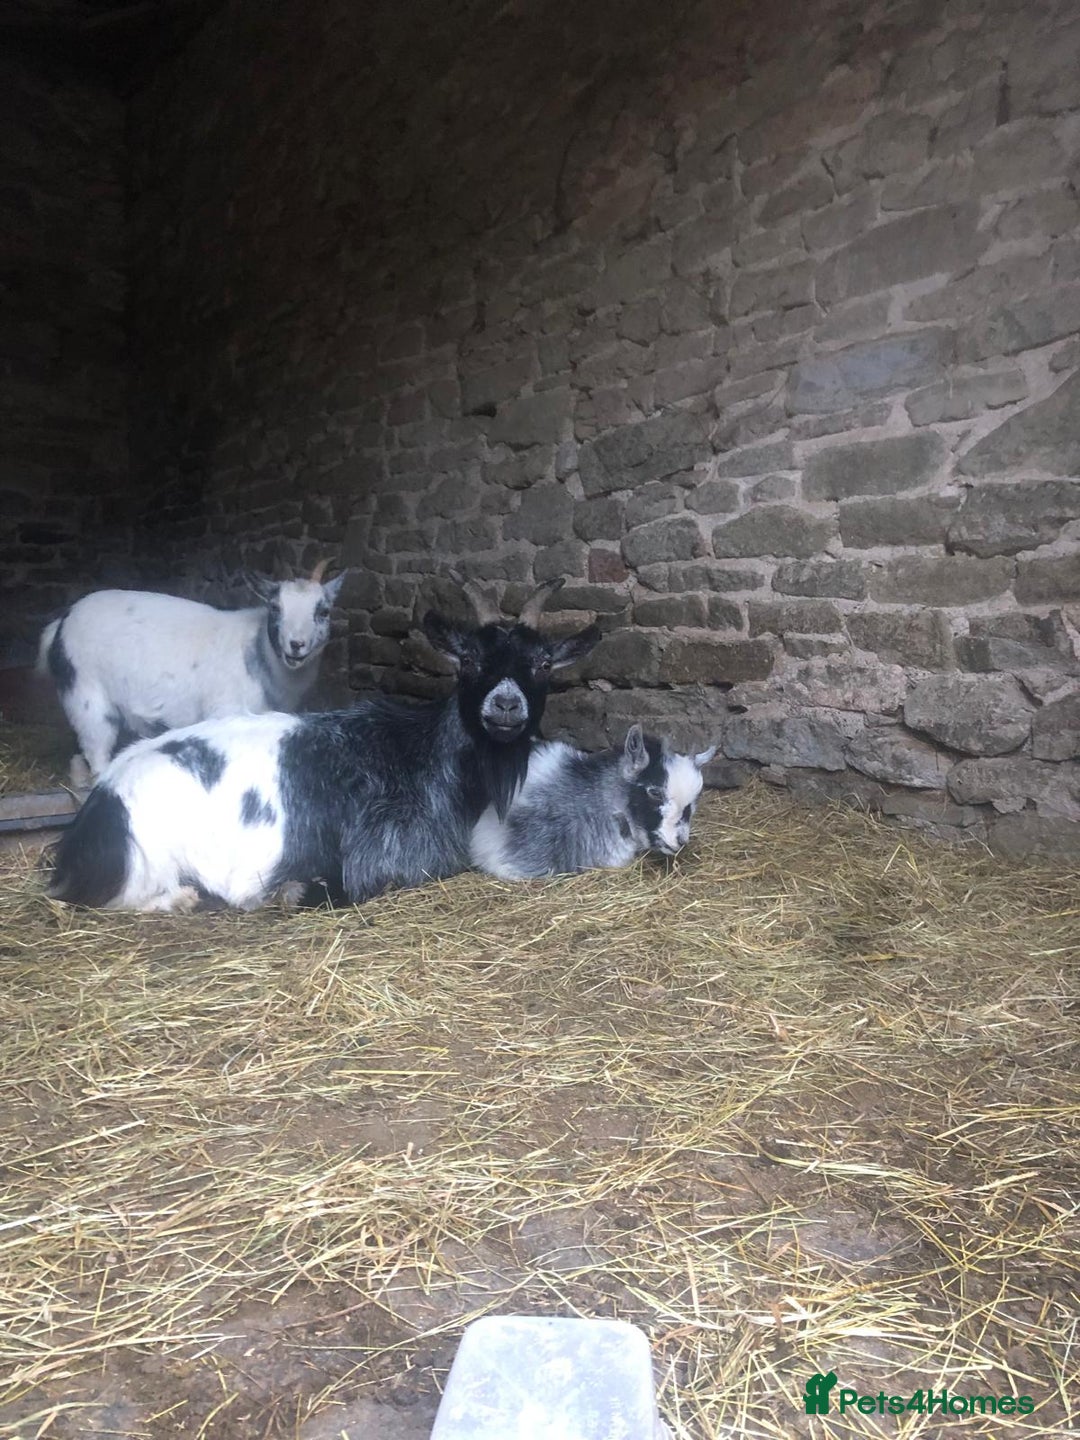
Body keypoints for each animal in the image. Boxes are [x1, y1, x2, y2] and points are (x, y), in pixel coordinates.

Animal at [38, 561, 347, 781]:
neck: (257, 652)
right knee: (97, 752)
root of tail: (60, 626)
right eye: (275, 608)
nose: (296, 646)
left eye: (324, 611)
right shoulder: (225, 712)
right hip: (87, 698)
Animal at [45, 579, 600, 912]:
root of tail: (101, 807)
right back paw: (190, 898)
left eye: (543, 664)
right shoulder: (384, 857)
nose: (505, 705)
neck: (427, 753)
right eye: (468, 661)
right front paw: (291, 891)